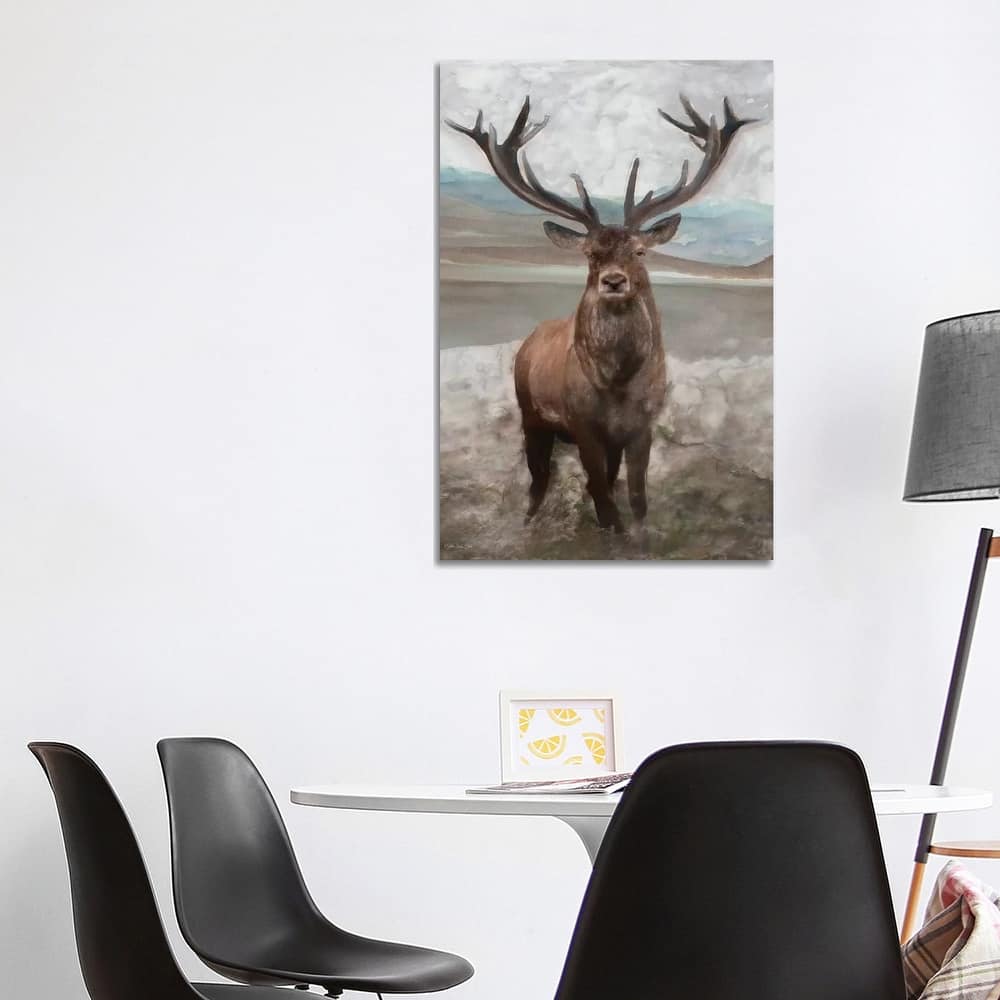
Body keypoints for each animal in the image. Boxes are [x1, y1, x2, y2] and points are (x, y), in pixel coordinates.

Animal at [446, 95, 753, 534]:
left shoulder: (642, 427)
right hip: (530, 414)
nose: (613, 281)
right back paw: (529, 521)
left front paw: (639, 532)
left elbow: (636, 497)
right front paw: (610, 531)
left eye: (640, 251)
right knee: (539, 478)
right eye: (590, 254)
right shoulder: (582, 425)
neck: (618, 384)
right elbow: (605, 503)